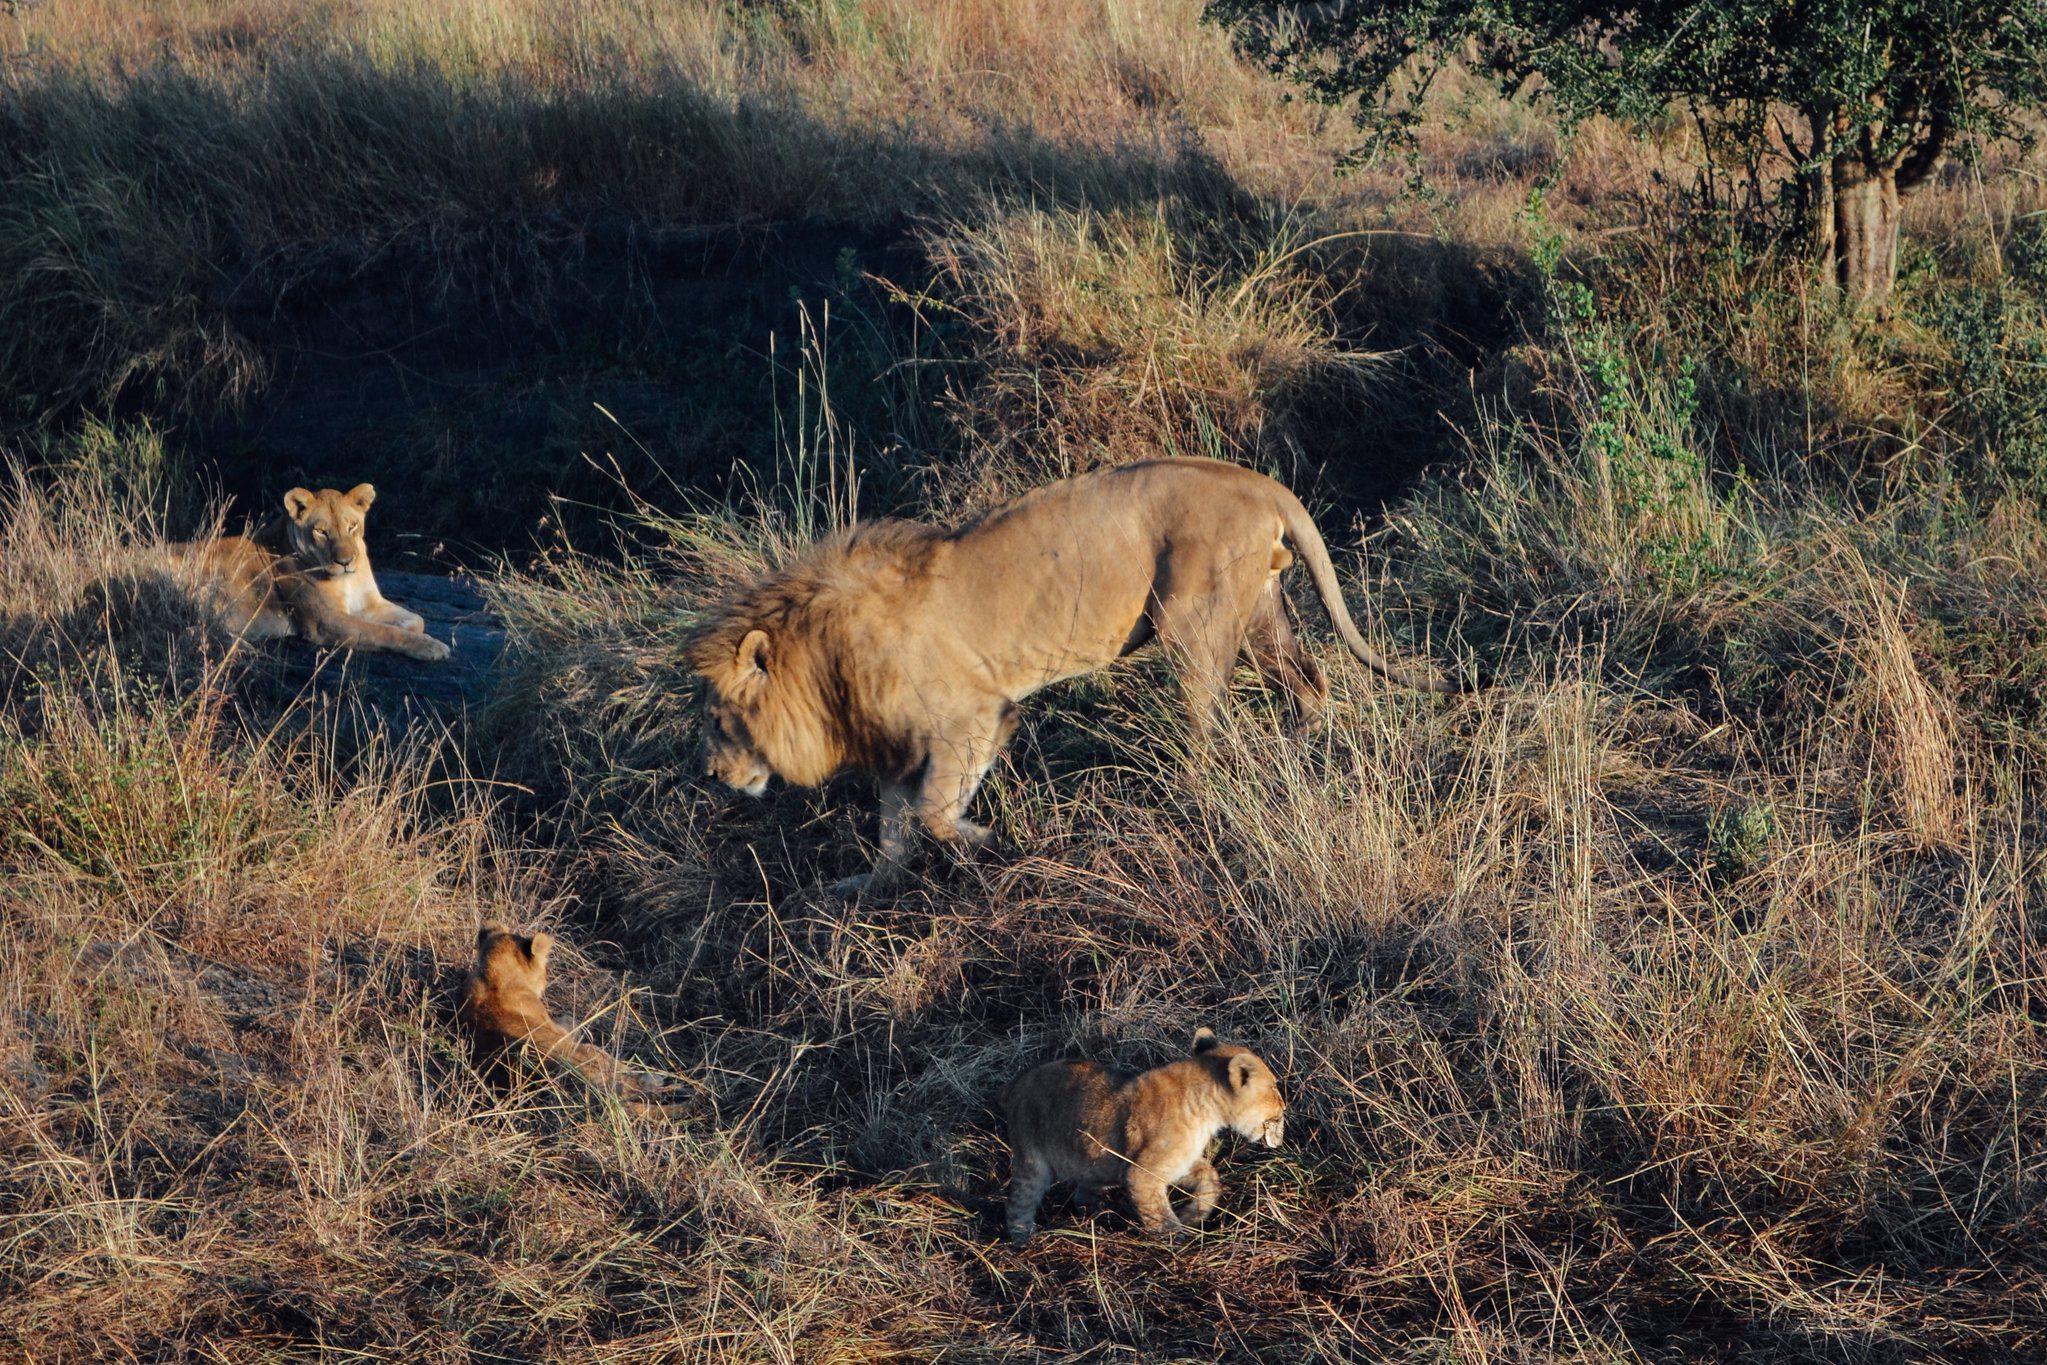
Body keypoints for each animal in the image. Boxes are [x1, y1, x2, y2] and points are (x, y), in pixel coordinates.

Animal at [182, 489, 450, 663]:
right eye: (321, 532)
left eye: (352, 526)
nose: (345, 562)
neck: (348, 579)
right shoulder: (325, 621)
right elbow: (383, 632)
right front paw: (430, 646)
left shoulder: (368, 603)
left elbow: (416, 619)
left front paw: (410, 627)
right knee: (194, 632)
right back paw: (246, 648)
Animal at [691, 458, 1457, 896]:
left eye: (721, 719)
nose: (714, 773)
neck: (824, 666)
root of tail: (1258, 481)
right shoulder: (894, 742)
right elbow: (893, 832)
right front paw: (865, 888)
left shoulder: (973, 718)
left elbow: (934, 815)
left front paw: (991, 844)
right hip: (1261, 612)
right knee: (1310, 685)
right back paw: (1295, 759)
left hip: (1191, 621)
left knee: (1206, 729)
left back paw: (1193, 795)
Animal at [1003, 1031, 1285, 1244]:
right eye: (1273, 1087)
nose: (1284, 1106)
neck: (1206, 1108)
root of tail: (1018, 1082)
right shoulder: (1142, 1174)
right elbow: (1160, 1217)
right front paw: (1177, 1244)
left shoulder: (1179, 1164)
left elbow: (1210, 1178)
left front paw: (1192, 1215)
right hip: (1031, 1160)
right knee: (1019, 1203)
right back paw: (1022, 1239)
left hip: (1092, 1162)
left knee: (1082, 1194)